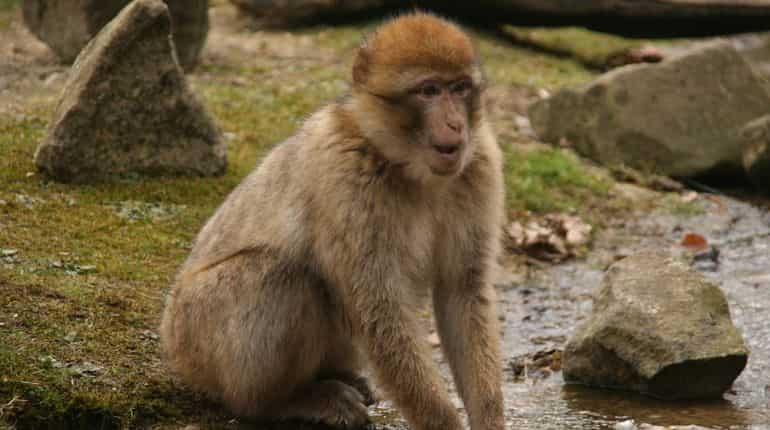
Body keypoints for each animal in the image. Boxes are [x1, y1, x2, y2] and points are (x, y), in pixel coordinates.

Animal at [160, 12, 505, 430]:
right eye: (429, 91)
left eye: (459, 88)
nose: (456, 124)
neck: (407, 168)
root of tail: (170, 336)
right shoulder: (346, 174)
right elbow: (378, 306)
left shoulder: (480, 163)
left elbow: (462, 290)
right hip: (196, 333)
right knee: (282, 276)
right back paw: (282, 402)